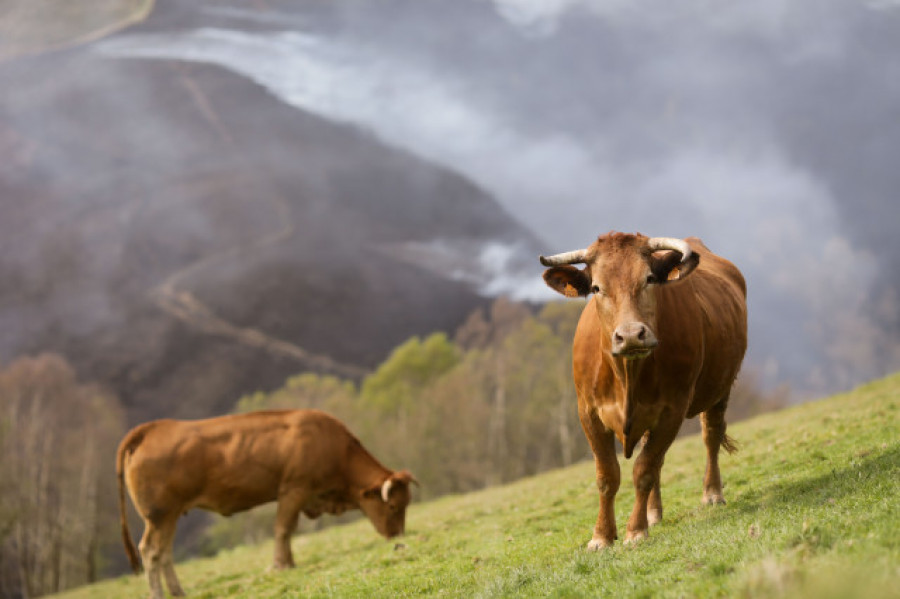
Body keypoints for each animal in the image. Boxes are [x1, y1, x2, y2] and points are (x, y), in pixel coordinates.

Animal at [115, 410, 418, 599]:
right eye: (393, 507)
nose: (398, 536)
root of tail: (152, 429)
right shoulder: (293, 490)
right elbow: (282, 529)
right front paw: (280, 565)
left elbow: (289, 530)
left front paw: (289, 562)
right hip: (159, 516)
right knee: (150, 551)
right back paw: (158, 594)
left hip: (170, 516)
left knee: (164, 553)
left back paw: (178, 592)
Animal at [540, 232, 744, 552]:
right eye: (596, 287)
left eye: (649, 279)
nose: (631, 335)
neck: (627, 375)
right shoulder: (588, 413)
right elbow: (607, 475)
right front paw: (602, 535)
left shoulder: (672, 410)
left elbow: (644, 470)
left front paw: (635, 531)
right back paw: (653, 513)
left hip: (721, 388)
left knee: (710, 436)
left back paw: (712, 493)